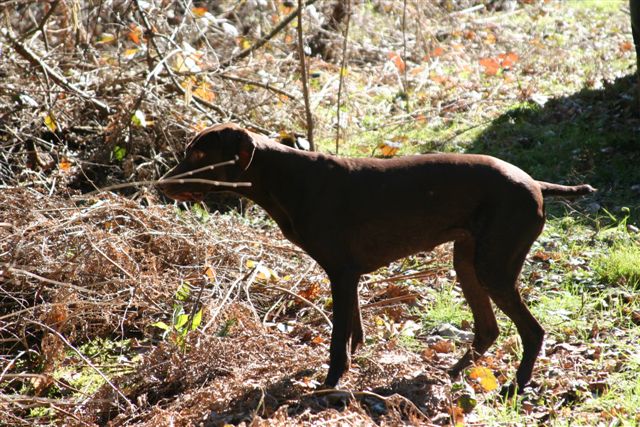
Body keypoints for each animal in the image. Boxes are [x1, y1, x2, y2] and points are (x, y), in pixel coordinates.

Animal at [159, 123, 596, 394]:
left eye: (200, 154)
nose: (161, 184)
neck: (287, 178)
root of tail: (534, 183)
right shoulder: (348, 275)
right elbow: (354, 332)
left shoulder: (340, 273)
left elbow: (338, 339)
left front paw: (330, 383)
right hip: (468, 263)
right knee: (488, 329)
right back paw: (453, 374)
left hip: (493, 267)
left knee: (532, 331)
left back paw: (515, 385)